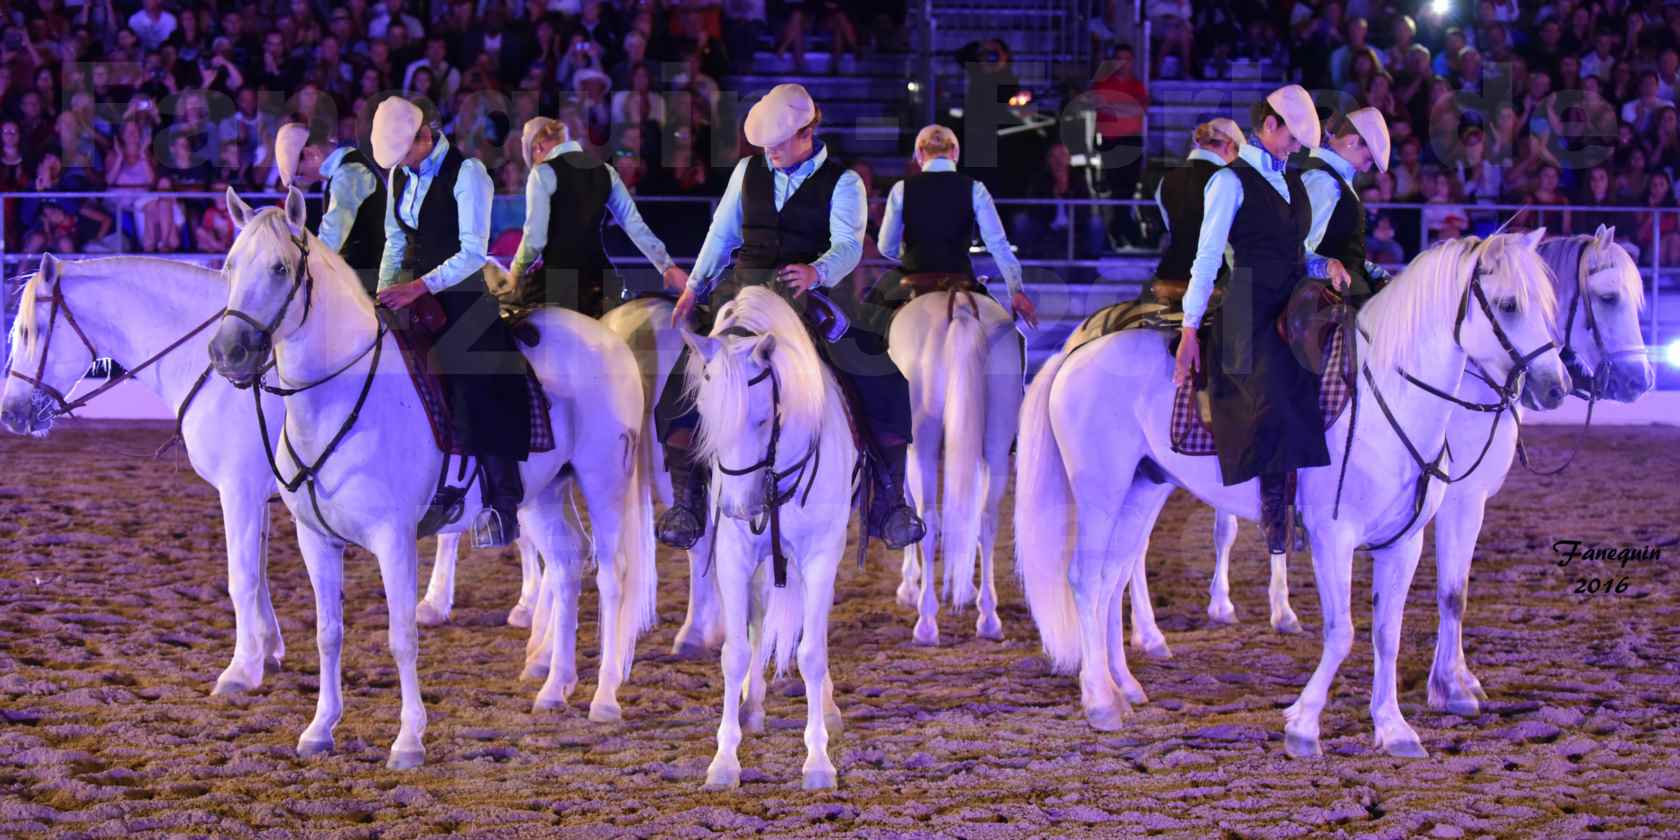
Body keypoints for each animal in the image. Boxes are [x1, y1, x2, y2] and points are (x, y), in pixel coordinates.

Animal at [206, 192, 651, 769]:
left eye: (280, 268)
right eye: (230, 266)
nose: (227, 353)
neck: (340, 398)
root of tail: (609, 339)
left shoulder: (393, 540)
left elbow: (402, 637)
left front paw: (409, 739)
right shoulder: (316, 539)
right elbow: (328, 634)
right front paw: (320, 728)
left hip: (604, 481)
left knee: (612, 573)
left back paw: (604, 698)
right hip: (545, 493)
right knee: (568, 562)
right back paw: (555, 688)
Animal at [675, 285, 853, 789]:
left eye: (760, 420)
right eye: (704, 414)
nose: (738, 508)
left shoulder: (819, 558)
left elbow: (812, 654)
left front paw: (818, 761)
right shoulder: (734, 557)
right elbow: (735, 652)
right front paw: (724, 762)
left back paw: (827, 709)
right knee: (756, 624)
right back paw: (751, 707)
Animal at [887, 288, 1014, 641]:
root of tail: (959, 308)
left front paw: (908, 587)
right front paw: (966, 588)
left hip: (924, 443)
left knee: (928, 521)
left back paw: (926, 623)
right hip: (997, 440)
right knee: (986, 519)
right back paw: (988, 619)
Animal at [1007, 230, 1572, 756]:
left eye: (1550, 305)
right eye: (1508, 305)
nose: (1557, 387)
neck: (1387, 397)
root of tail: (1075, 353)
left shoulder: (1404, 543)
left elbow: (1389, 633)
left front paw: (1394, 728)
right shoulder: (1333, 537)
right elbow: (1343, 632)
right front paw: (1303, 724)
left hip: (1141, 489)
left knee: (1111, 579)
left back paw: (1121, 685)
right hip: (1101, 491)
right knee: (1086, 579)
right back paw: (1100, 701)